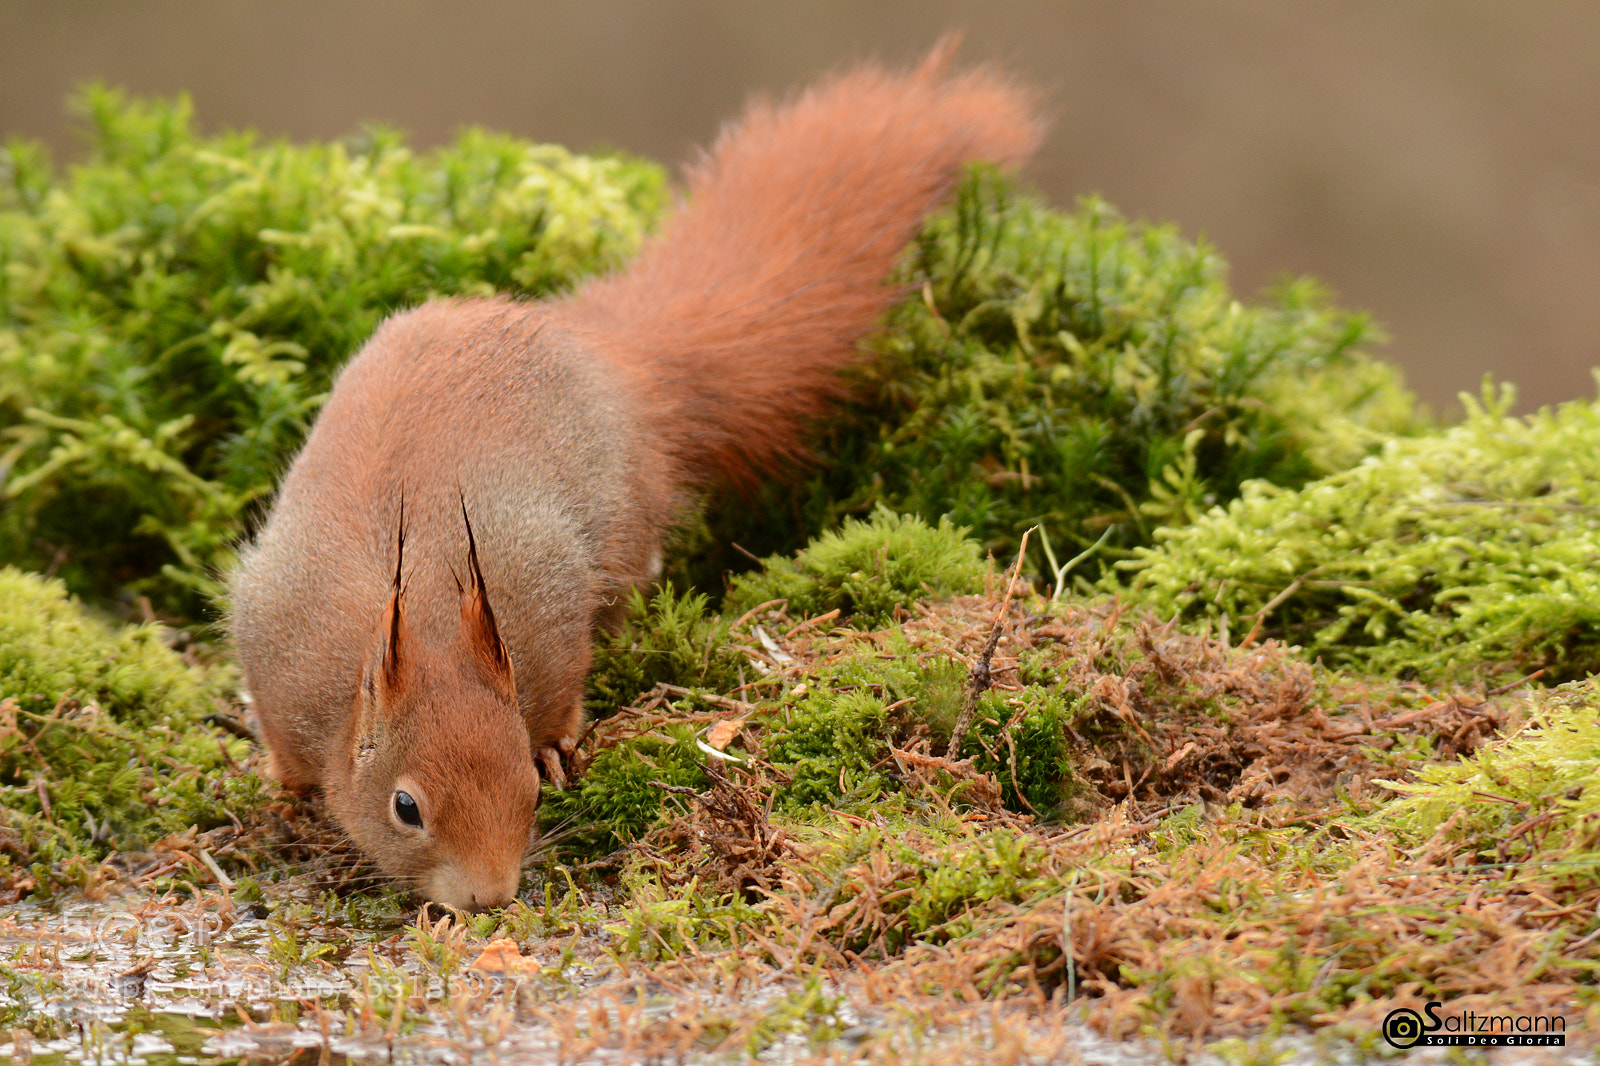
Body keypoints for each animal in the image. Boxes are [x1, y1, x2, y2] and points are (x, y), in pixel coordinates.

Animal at [227, 42, 1040, 912]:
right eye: (405, 807)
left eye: (525, 791)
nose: (490, 896)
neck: (427, 615)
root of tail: (608, 355)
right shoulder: (276, 648)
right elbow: (282, 739)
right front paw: (285, 784)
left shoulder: (543, 611)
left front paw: (555, 748)